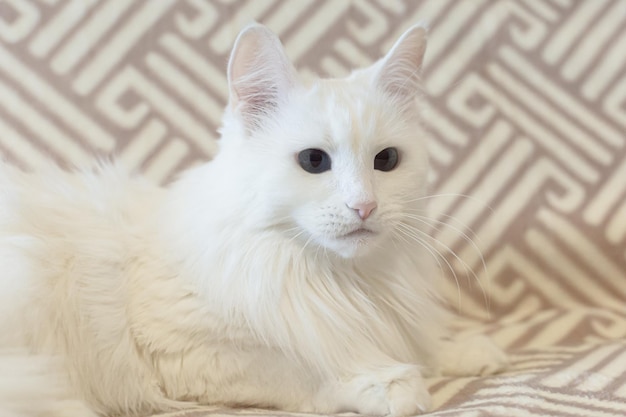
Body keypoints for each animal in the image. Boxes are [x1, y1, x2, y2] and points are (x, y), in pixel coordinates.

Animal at [0, 23, 504, 416]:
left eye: (387, 161)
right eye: (314, 161)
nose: (364, 206)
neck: (336, 279)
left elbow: (416, 342)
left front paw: (464, 350)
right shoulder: (186, 350)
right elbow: (308, 366)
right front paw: (386, 383)